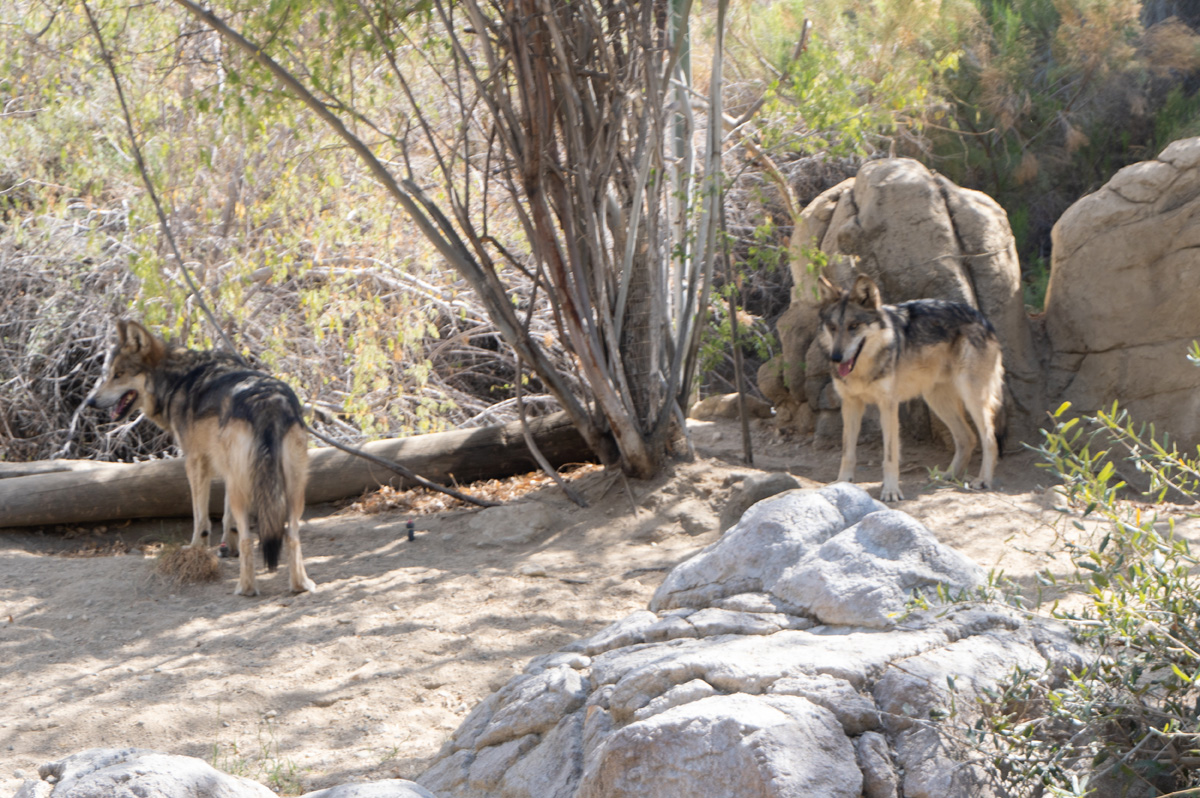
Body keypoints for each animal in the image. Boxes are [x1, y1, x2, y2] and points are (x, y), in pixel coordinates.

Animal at [87, 319, 315, 596]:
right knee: (292, 535)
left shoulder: (195, 462)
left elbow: (200, 517)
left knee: (251, 538)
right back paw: (301, 584)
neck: (176, 380)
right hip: (289, 489)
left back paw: (246, 588)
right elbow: (227, 518)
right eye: (111, 373)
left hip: (249, 486)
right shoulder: (227, 471)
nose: (90, 401)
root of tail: (268, 400)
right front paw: (228, 546)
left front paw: (196, 548)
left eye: (118, 374)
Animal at [817, 274, 1004, 502]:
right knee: (967, 438)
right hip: (936, 400)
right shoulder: (850, 404)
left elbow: (890, 455)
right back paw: (948, 476)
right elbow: (847, 452)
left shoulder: (888, 406)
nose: (836, 357)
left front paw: (890, 491)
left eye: (854, 326)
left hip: (971, 398)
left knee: (989, 439)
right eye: (832, 327)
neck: (862, 370)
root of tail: (982, 319)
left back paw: (983, 480)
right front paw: (842, 483)